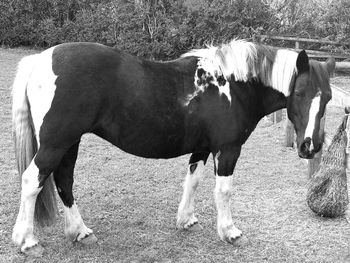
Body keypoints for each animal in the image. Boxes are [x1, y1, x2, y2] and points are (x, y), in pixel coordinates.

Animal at [10, 39, 334, 254]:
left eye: (328, 97)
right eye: (300, 93)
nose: (310, 146)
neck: (232, 86)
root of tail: (40, 59)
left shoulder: (203, 147)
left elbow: (192, 180)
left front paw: (186, 220)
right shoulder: (228, 149)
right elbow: (224, 190)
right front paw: (230, 232)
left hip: (70, 142)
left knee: (64, 181)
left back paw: (80, 233)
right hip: (56, 142)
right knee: (32, 180)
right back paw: (27, 241)